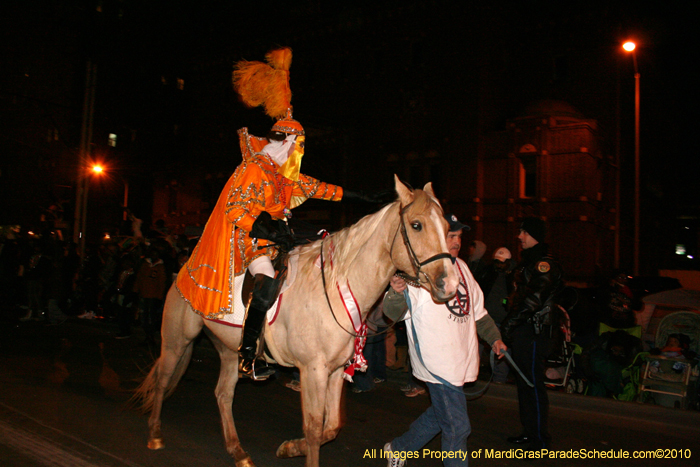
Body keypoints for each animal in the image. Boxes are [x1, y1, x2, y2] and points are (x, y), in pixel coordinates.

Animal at [134, 176, 460, 467]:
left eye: (446, 228)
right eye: (416, 225)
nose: (450, 284)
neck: (335, 286)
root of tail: (184, 267)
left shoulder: (335, 370)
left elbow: (332, 426)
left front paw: (289, 448)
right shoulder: (311, 370)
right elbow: (315, 429)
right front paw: (297, 448)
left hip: (228, 350)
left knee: (223, 394)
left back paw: (238, 451)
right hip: (177, 341)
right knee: (163, 379)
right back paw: (154, 435)